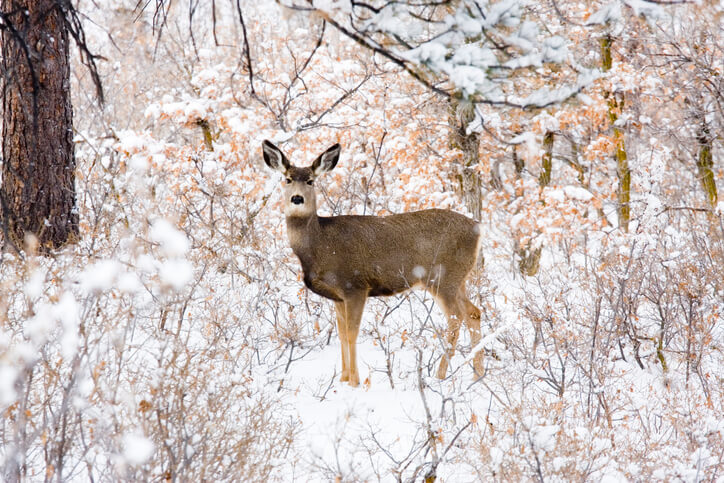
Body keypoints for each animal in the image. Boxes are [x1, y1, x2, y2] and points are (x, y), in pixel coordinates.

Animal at [264, 139, 484, 386]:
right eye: (287, 179)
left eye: (311, 180)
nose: (297, 198)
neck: (319, 246)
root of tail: (478, 228)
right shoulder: (338, 296)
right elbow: (341, 335)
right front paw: (343, 380)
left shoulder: (355, 286)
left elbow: (352, 334)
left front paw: (355, 382)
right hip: (458, 279)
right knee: (474, 312)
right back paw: (478, 375)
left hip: (442, 278)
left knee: (456, 319)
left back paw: (440, 376)